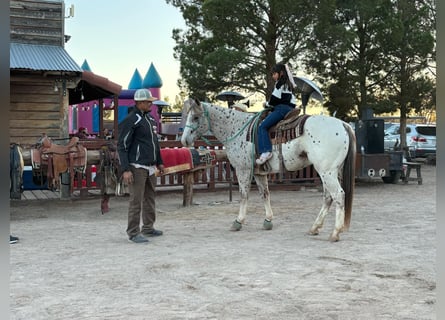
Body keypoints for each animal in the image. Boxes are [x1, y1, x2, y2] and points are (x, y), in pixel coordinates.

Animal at [179, 99, 356, 241]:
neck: (237, 129)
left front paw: (238, 221)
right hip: (331, 171)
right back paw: (315, 228)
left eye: (195, 117)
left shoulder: (242, 170)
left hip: (327, 172)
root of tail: (343, 124)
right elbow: (265, 194)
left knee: (338, 195)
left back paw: (335, 233)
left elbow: (244, 195)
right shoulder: (259, 173)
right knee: (328, 197)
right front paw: (268, 221)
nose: (184, 140)